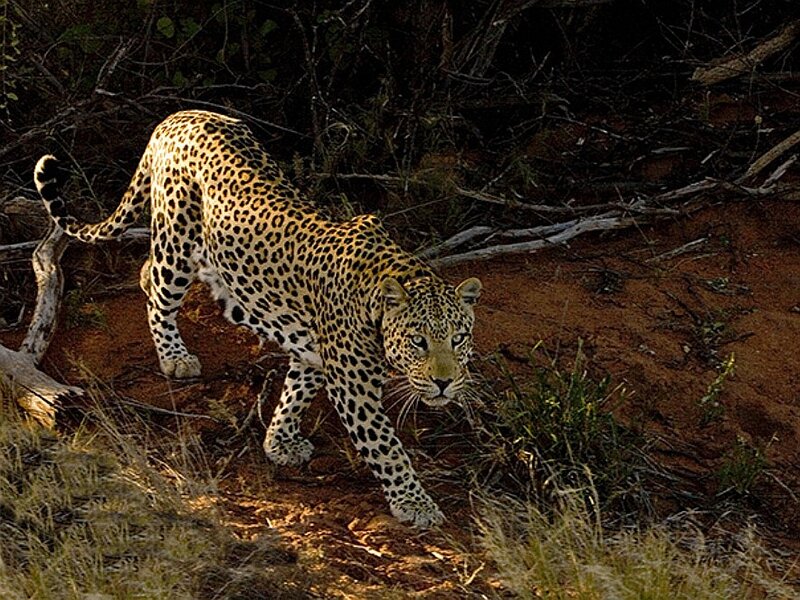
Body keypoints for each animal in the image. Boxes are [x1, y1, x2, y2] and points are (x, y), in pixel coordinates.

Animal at [34, 110, 482, 527]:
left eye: (458, 338)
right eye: (418, 341)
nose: (444, 383)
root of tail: (179, 117)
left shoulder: (313, 352)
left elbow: (296, 392)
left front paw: (279, 441)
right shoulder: (352, 386)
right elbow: (387, 448)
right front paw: (415, 503)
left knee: (147, 273)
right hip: (176, 245)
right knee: (157, 288)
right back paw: (174, 356)